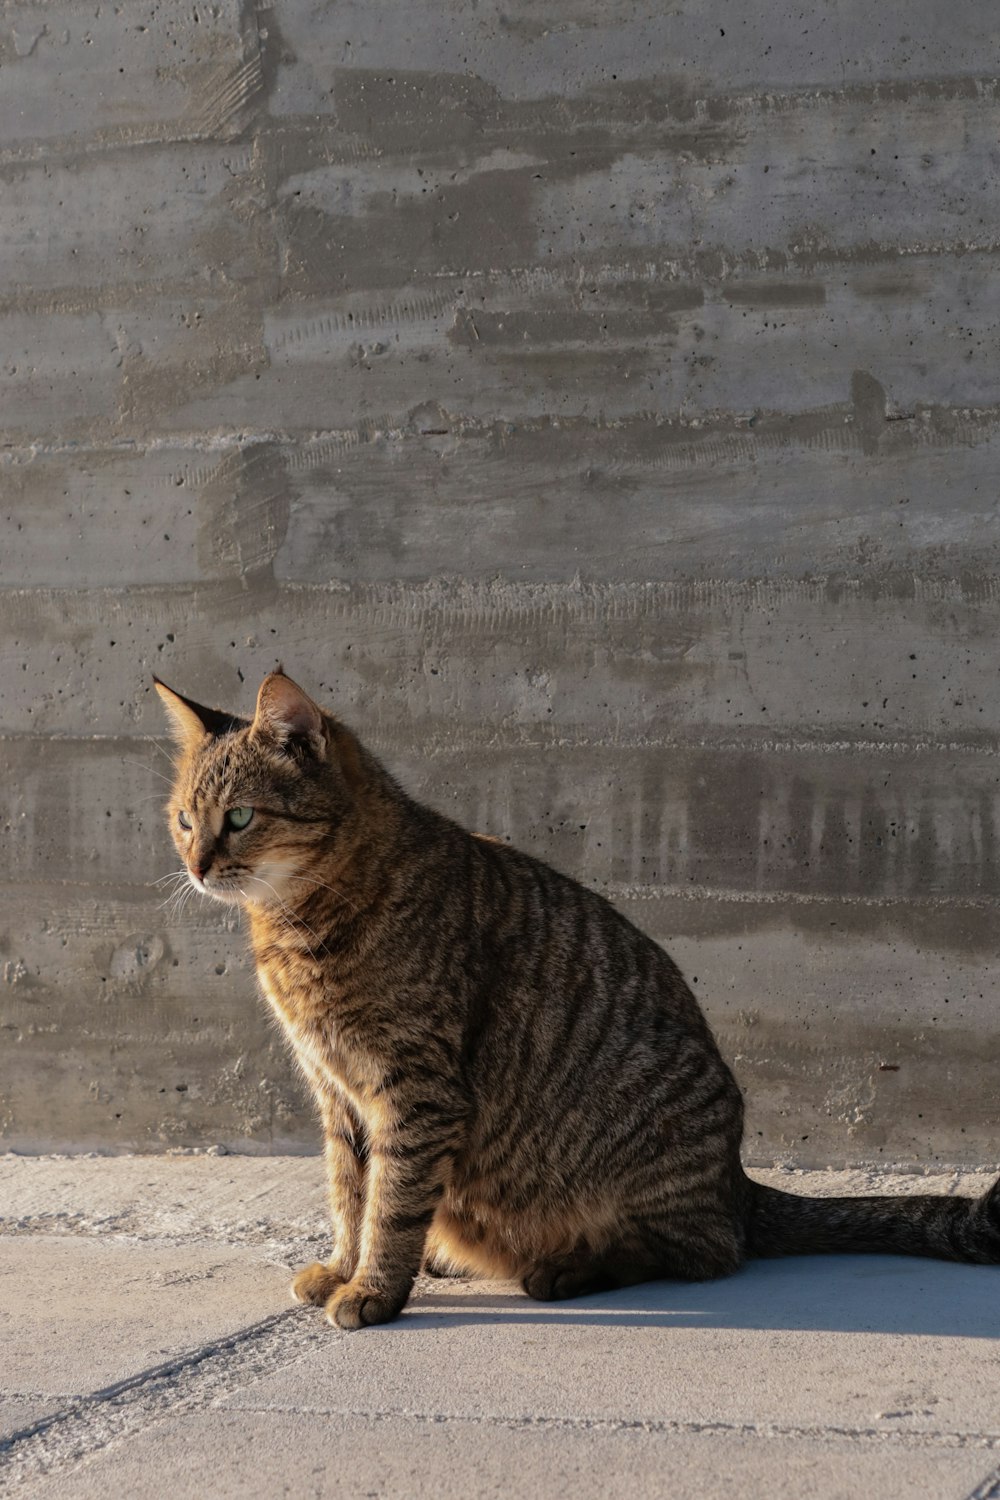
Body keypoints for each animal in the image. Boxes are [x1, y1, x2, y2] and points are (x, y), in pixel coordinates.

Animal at [154, 675, 1000, 1332]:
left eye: (240, 818)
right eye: (185, 820)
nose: (196, 865)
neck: (302, 927)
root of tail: (736, 1181)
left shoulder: (415, 1089)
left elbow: (389, 1203)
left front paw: (374, 1288)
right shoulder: (336, 1095)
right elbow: (348, 1194)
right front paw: (343, 1265)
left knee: (702, 1252)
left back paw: (568, 1267)